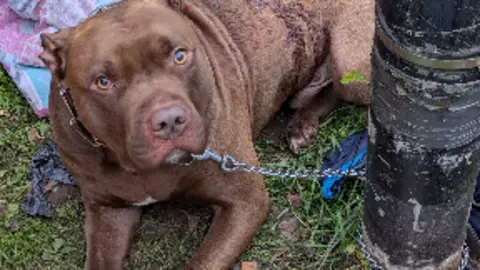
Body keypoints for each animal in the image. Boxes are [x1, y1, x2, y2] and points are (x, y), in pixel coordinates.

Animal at [38, 1, 376, 268]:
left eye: (179, 56)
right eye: (103, 81)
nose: (169, 121)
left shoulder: (245, 201)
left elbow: (201, 263)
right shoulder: (109, 211)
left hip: (351, 62)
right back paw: (302, 124)